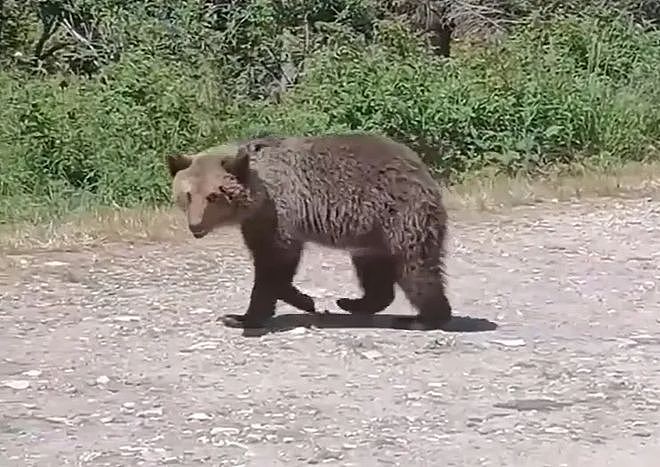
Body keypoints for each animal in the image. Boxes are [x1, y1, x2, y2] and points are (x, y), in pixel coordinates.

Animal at [166, 133, 452, 330]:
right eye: (187, 195)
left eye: (214, 195)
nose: (195, 225)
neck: (259, 196)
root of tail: (420, 168)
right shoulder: (257, 223)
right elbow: (271, 264)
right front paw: (302, 300)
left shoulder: (278, 216)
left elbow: (273, 265)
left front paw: (242, 317)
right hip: (370, 233)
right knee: (373, 270)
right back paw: (352, 303)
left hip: (398, 215)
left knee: (416, 268)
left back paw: (423, 319)